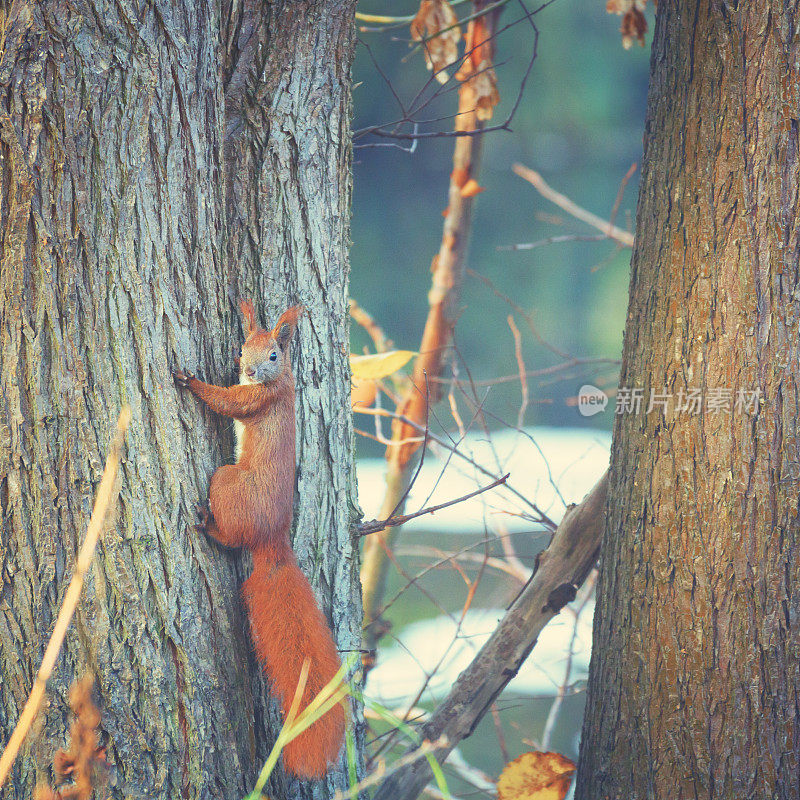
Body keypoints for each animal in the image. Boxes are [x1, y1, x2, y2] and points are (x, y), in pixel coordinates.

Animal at [175, 302, 344, 780]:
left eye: (273, 354)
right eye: (241, 348)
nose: (249, 370)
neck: (279, 381)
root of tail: (273, 542)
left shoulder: (257, 399)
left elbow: (226, 400)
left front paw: (192, 382)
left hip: (227, 482)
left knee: (230, 538)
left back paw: (206, 523)